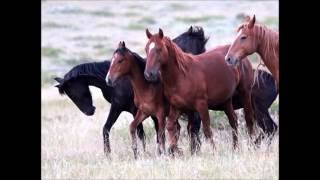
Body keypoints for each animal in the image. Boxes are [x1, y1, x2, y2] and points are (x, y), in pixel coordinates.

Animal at [54, 26, 278, 155]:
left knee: (262, 127)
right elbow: (138, 131)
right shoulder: (140, 111)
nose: (89, 111)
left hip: (252, 107)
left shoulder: (132, 109)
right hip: (225, 104)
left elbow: (145, 132)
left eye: (72, 91)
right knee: (234, 125)